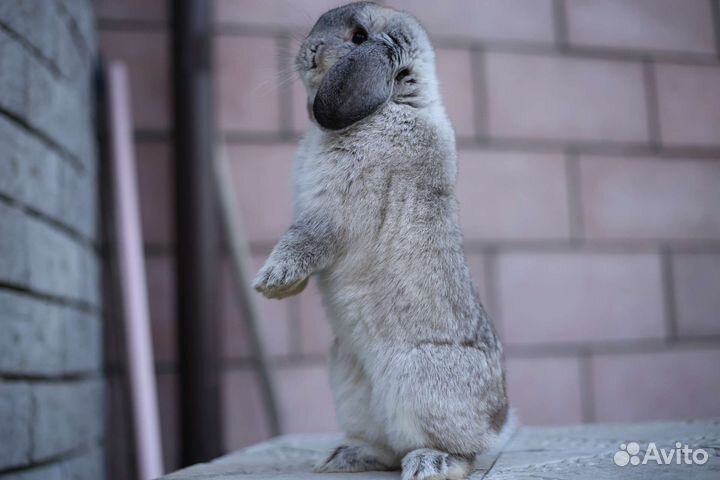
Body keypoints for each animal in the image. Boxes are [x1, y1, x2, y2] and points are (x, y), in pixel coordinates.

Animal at [253, 2, 510, 479]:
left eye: (358, 37)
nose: (306, 53)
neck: (390, 104)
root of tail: (498, 425)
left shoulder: (332, 214)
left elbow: (304, 241)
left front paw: (271, 284)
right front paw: (284, 289)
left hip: (421, 384)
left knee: (458, 454)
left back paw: (430, 463)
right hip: (350, 386)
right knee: (386, 447)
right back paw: (343, 457)